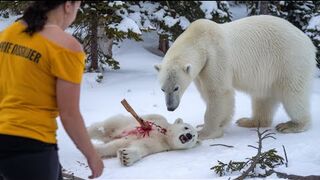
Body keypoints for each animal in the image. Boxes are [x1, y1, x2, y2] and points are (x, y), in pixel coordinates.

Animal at [154, 15, 316, 141]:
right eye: (162, 89)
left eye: (176, 88)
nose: (170, 108)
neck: (199, 39)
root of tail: (308, 41)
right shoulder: (202, 71)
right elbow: (208, 94)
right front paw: (216, 123)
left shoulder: (215, 58)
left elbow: (219, 92)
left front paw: (204, 132)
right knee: (263, 97)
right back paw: (249, 121)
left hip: (290, 60)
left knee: (293, 93)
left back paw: (292, 125)